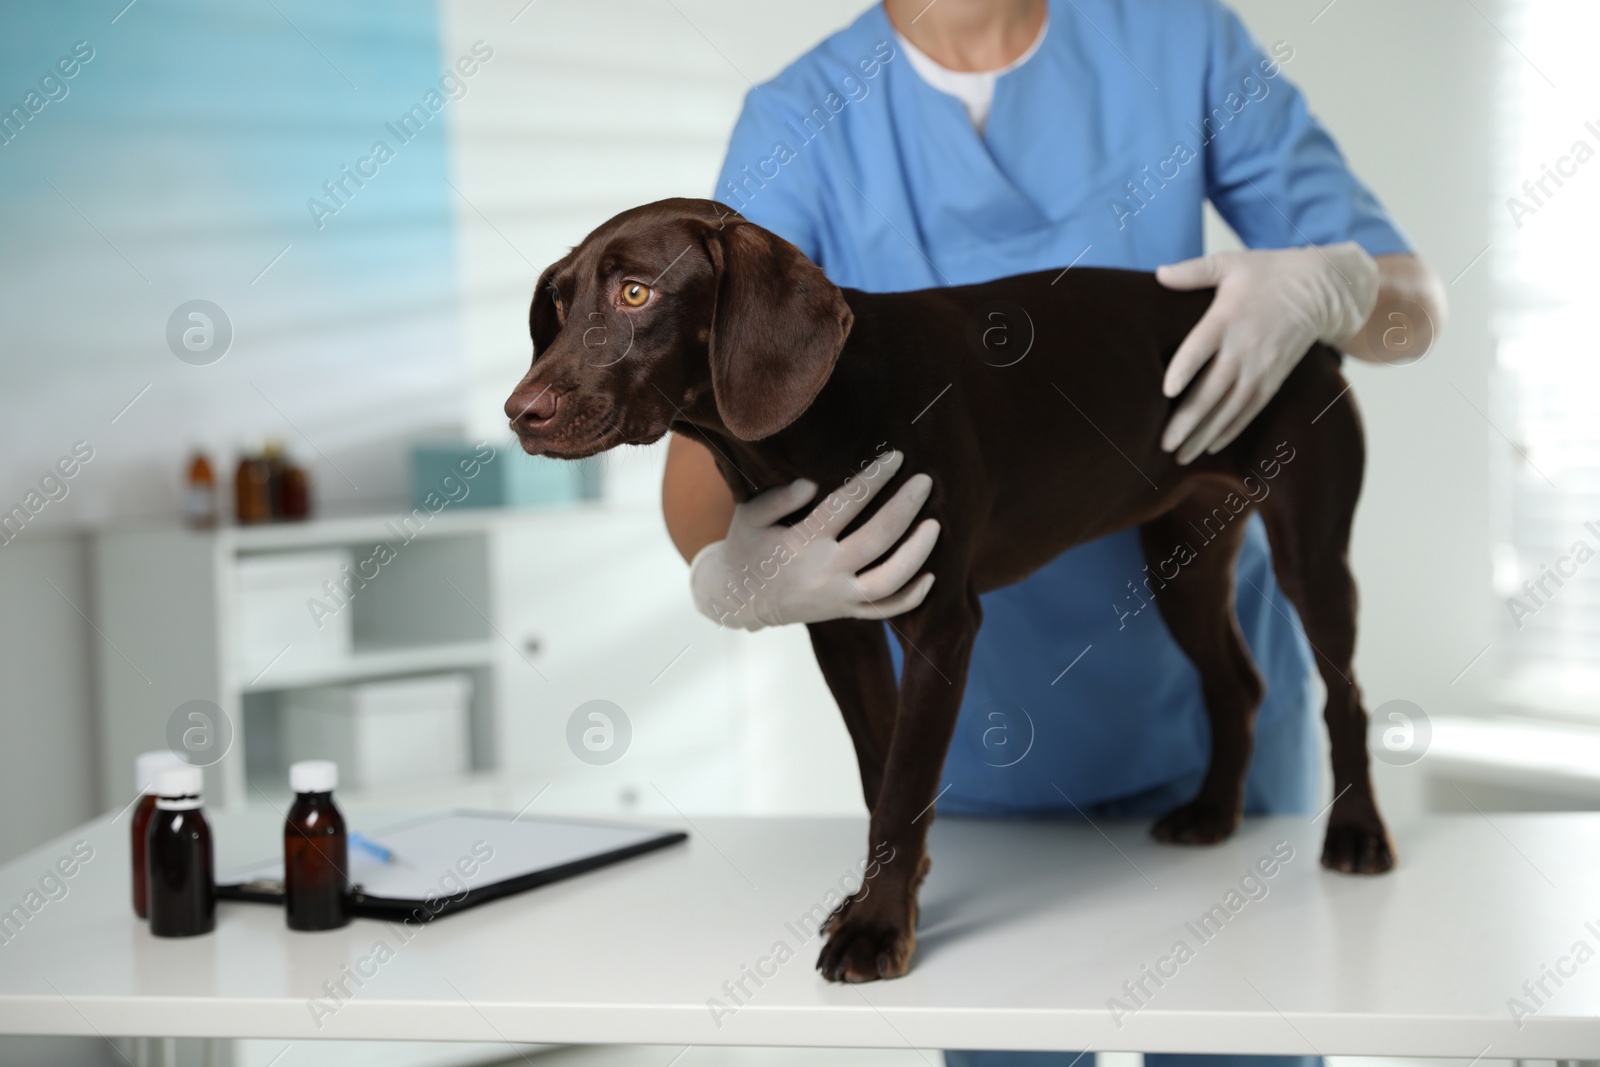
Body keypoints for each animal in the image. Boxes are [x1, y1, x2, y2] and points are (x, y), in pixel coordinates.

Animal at [505, 198, 1395, 985]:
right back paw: (1213, 811)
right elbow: (881, 772)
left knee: (1344, 697)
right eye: (560, 304)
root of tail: (1314, 341)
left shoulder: (940, 625)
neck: (827, 415)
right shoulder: (840, 622)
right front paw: (888, 895)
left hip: (1313, 557)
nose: (520, 412)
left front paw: (876, 926)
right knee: (1237, 684)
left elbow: (904, 783)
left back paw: (1356, 833)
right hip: (1182, 564)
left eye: (636, 293)